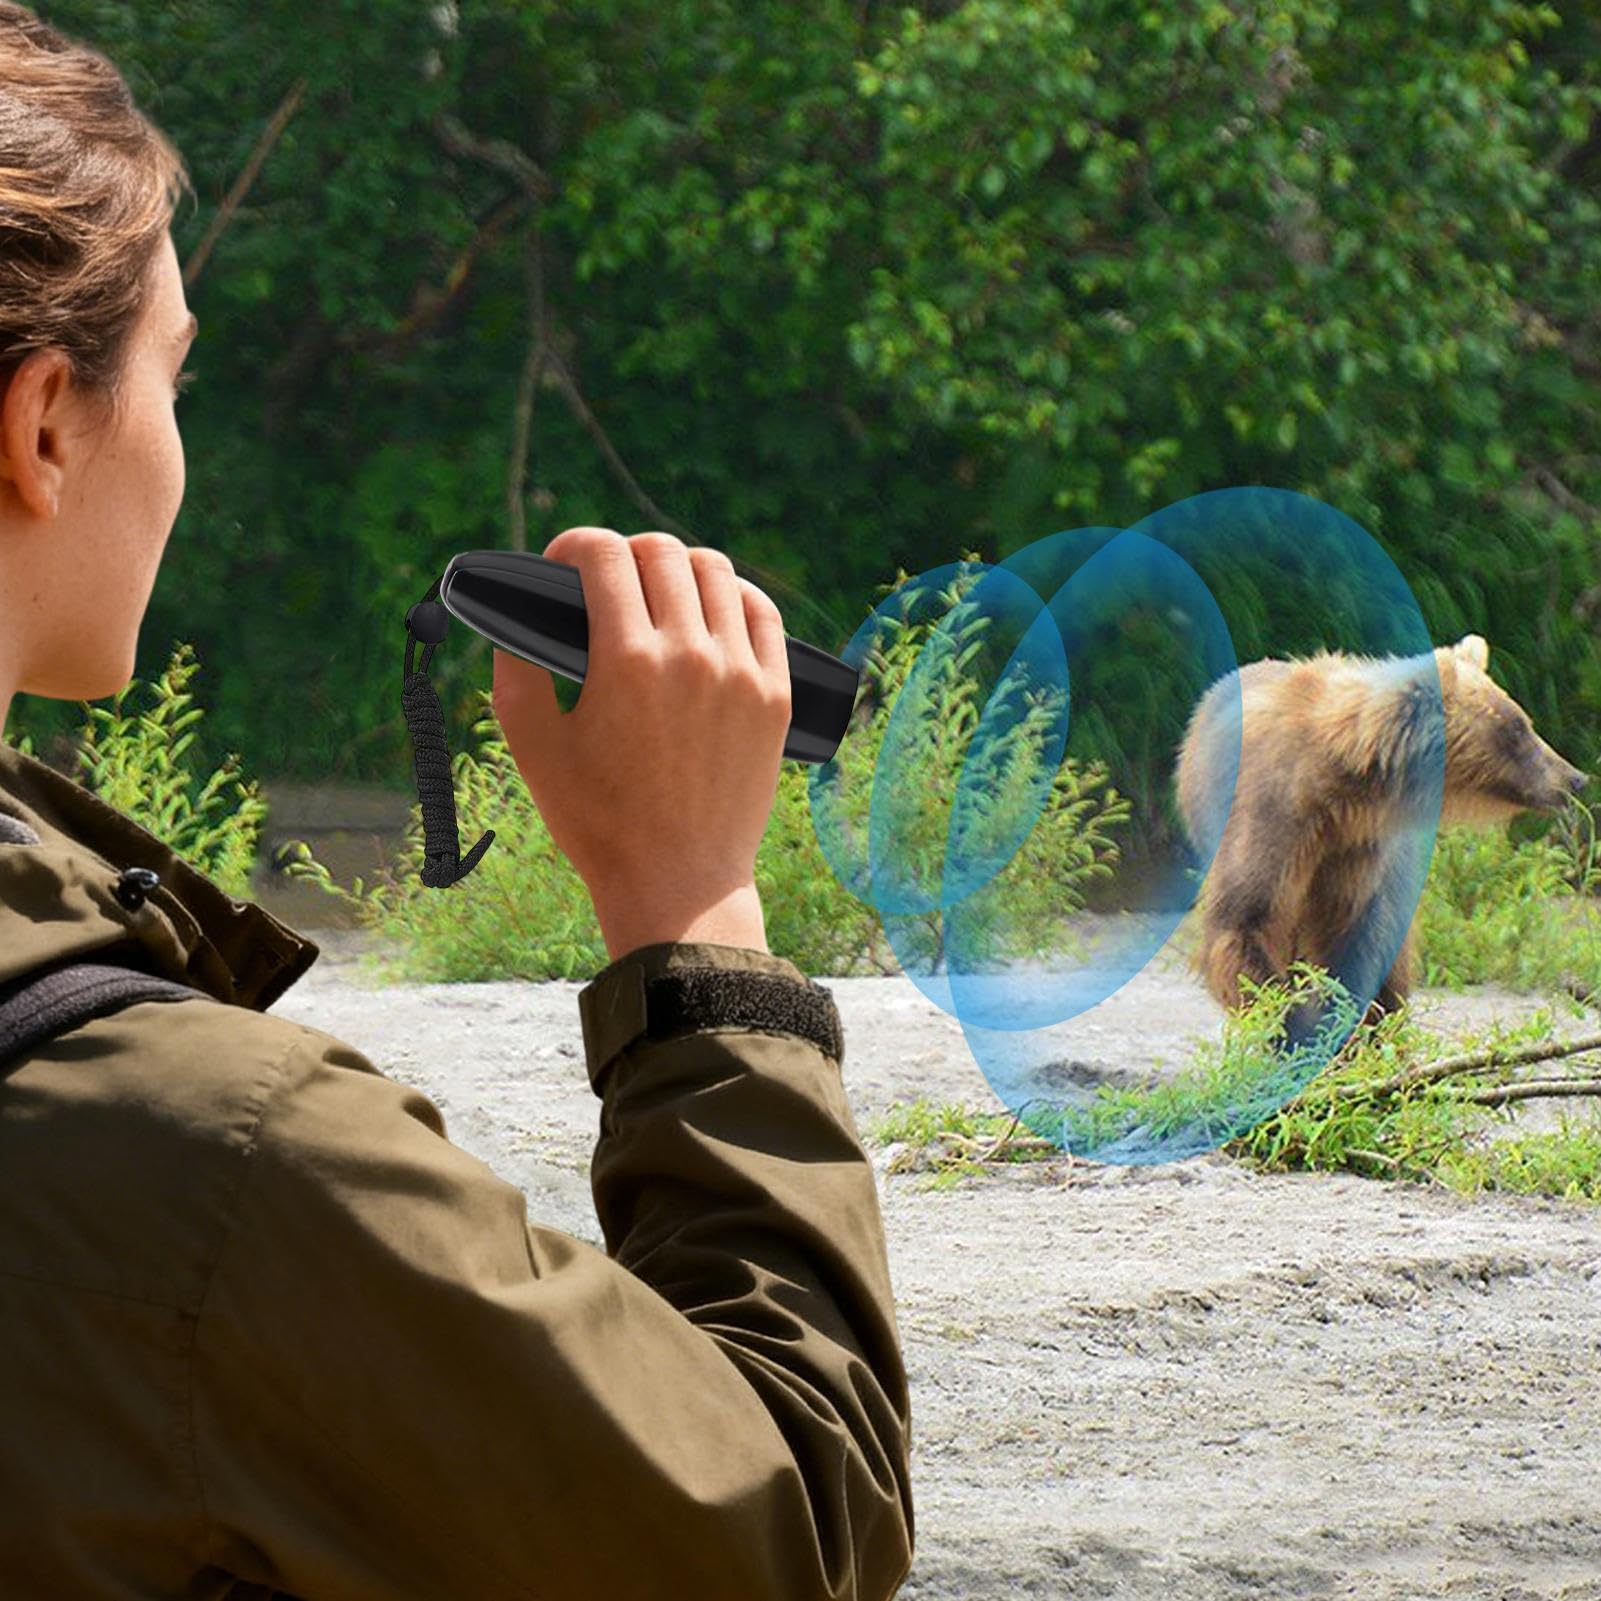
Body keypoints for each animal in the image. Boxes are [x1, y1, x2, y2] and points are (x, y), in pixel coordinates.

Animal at [1175, 634, 1587, 1023]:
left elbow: (1353, 936)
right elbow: (1244, 921)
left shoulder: (1358, 846)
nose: (1575, 778)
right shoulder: (1273, 815)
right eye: (1518, 729)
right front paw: (1286, 1021)